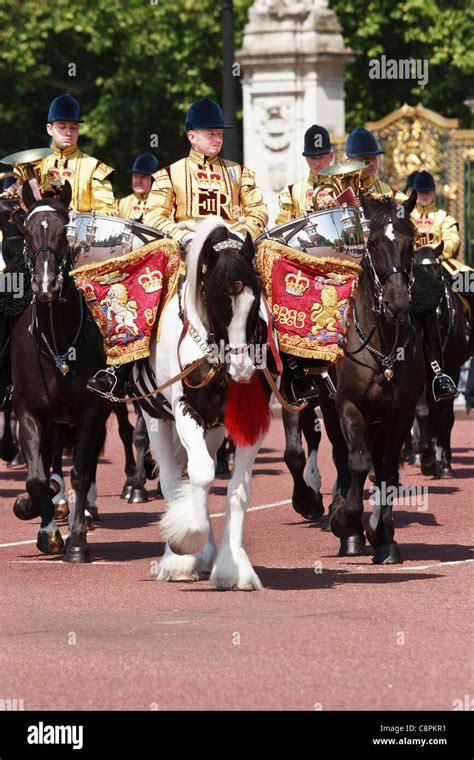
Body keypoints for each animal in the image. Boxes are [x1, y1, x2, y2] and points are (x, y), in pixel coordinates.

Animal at [139, 217, 276, 592]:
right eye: (215, 299)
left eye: (254, 299)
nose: (242, 370)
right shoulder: (187, 411)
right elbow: (199, 473)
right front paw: (186, 540)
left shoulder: (250, 423)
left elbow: (237, 490)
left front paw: (233, 566)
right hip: (155, 417)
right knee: (172, 478)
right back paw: (181, 558)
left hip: (214, 429)